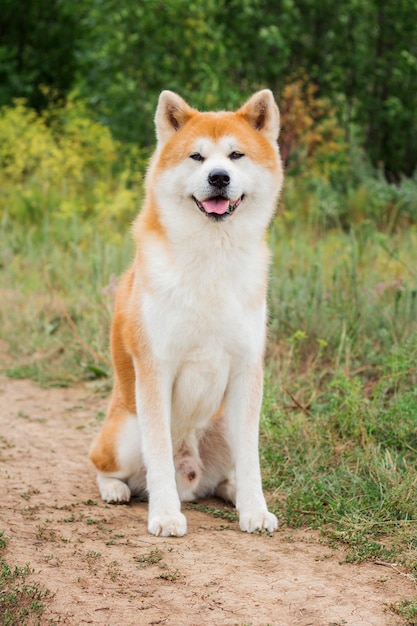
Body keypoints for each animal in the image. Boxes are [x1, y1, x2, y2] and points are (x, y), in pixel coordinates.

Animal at [88, 89, 282, 536]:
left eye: (236, 155)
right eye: (197, 157)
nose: (219, 178)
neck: (211, 259)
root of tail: (190, 481)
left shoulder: (247, 370)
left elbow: (252, 460)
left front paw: (255, 509)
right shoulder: (155, 369)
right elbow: (158, 454)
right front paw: (164, 515)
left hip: (222, 425)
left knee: (225, 475)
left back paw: (231, 493)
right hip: (125, 433)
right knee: (106, 467)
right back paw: (117, 490)